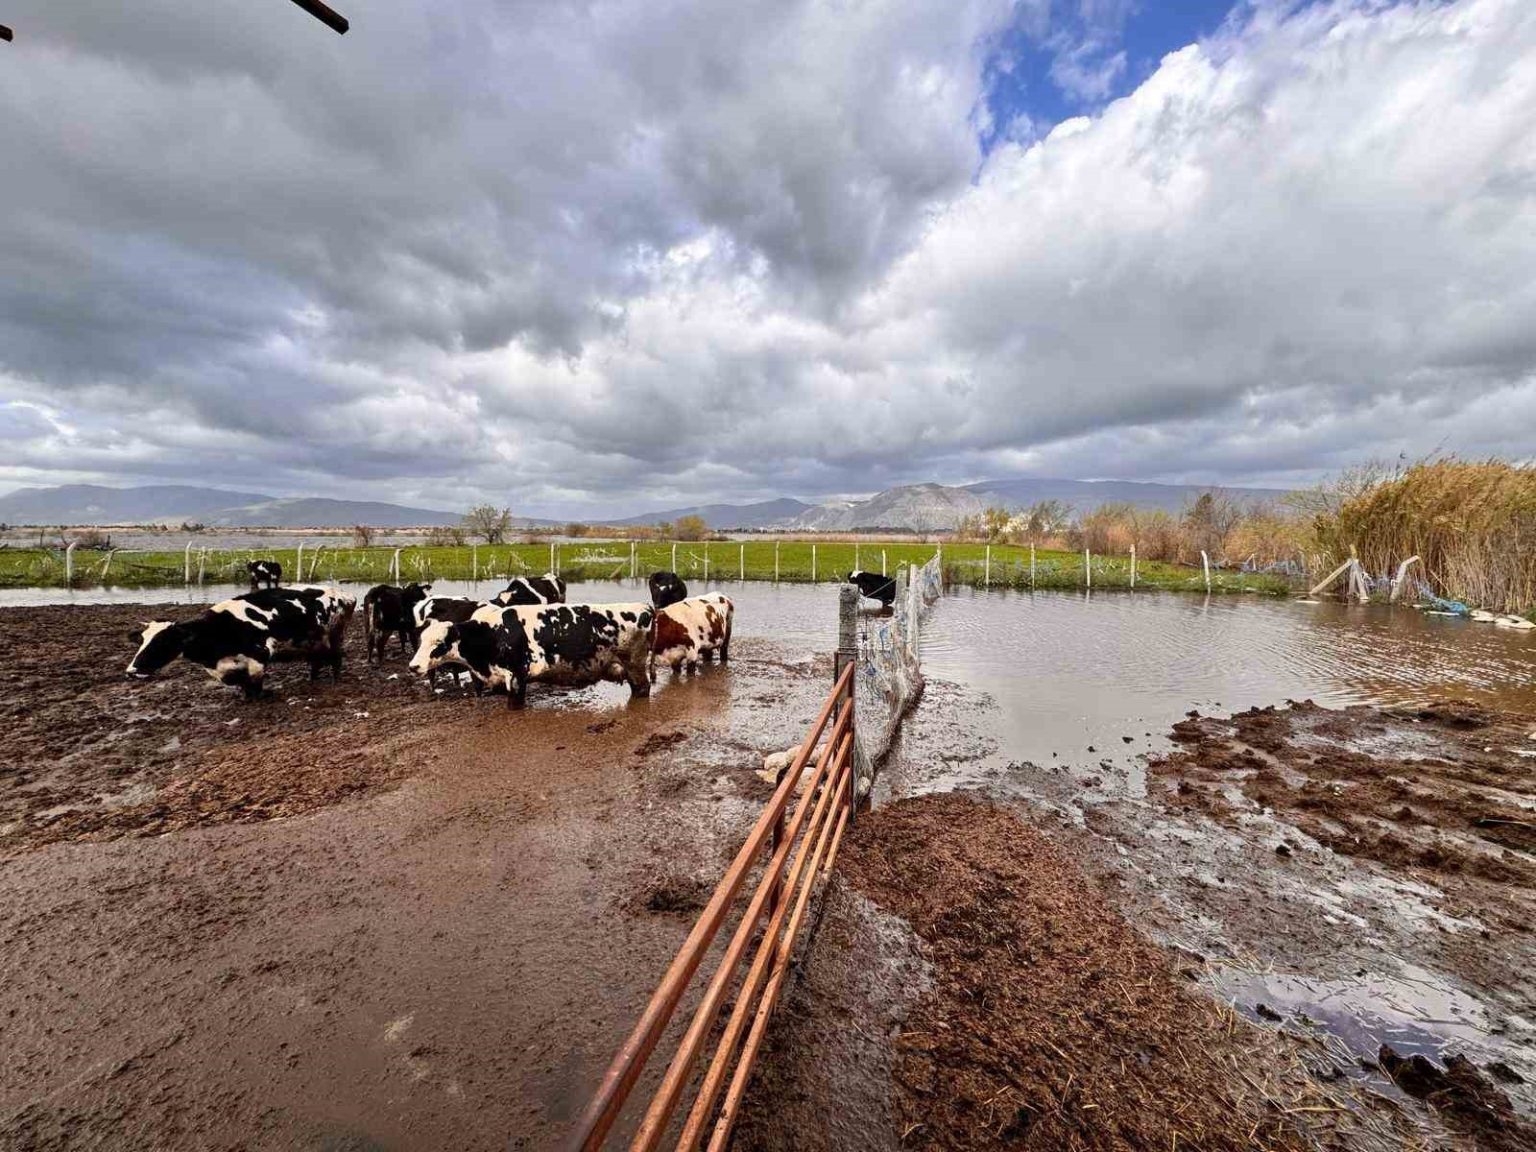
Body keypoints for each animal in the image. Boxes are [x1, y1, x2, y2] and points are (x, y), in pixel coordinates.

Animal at [127, 586, 355, 699]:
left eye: (162, 641)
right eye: (142, 640)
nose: (131, 670)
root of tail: (342, 593)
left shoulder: (260, 653)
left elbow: (254, 679)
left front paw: (260, 695)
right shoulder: (217, 668)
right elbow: (234, 679)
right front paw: (245, 694)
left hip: (335, 633)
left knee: (335, 657)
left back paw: (334, 679)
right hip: (313, 641)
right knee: (316, 659)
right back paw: (312, 679)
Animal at [410, 602, 653, 708]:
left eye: (439, 643)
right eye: (421, 641)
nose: (413, 667)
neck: (493, 633)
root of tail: (644, 607)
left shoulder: (516, 676)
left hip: (635, 666)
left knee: (643, 688)